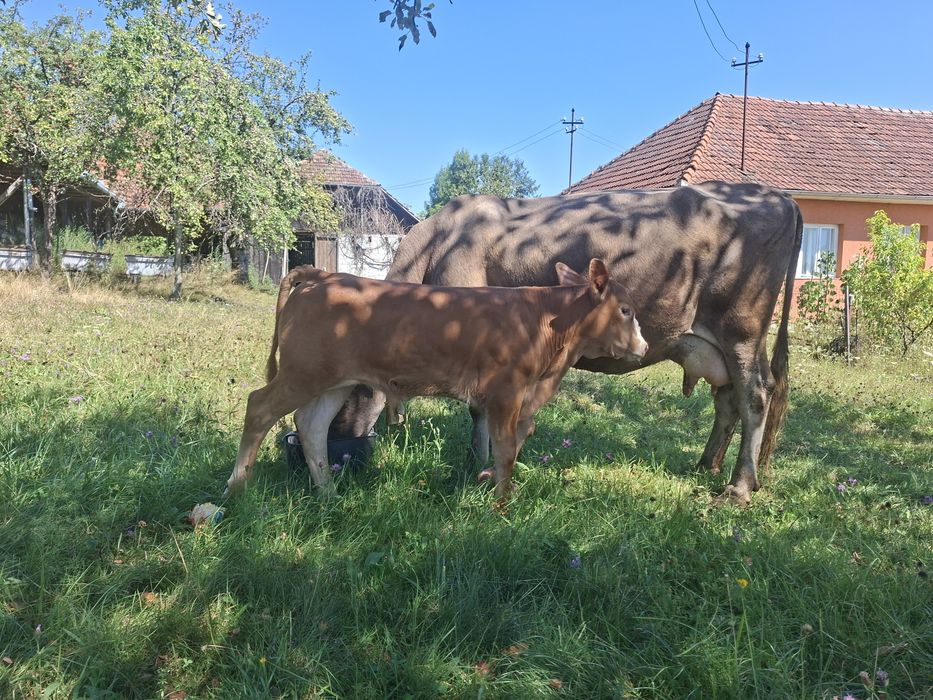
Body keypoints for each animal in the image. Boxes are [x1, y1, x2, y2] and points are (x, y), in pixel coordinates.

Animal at [223, 259, 648, 501]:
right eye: (626, 310)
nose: (643, 347)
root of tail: (323, 274)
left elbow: (510, 444)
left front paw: (489, 484)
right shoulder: (505, 392)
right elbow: (506, 449)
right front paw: (503, 504)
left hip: (334, 380)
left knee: (311, 426)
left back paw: (328, 493)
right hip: (302, 372)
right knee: (259, 408)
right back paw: (237, 488)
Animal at [328, 181, 803, 505]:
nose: (337, 446)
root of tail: (776, 195)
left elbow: (478, 408)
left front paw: (476, 464)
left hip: (741, 329)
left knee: (755, 395)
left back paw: (739, 487)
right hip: (720, 344)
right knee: (728, 400)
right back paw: (707, 464)